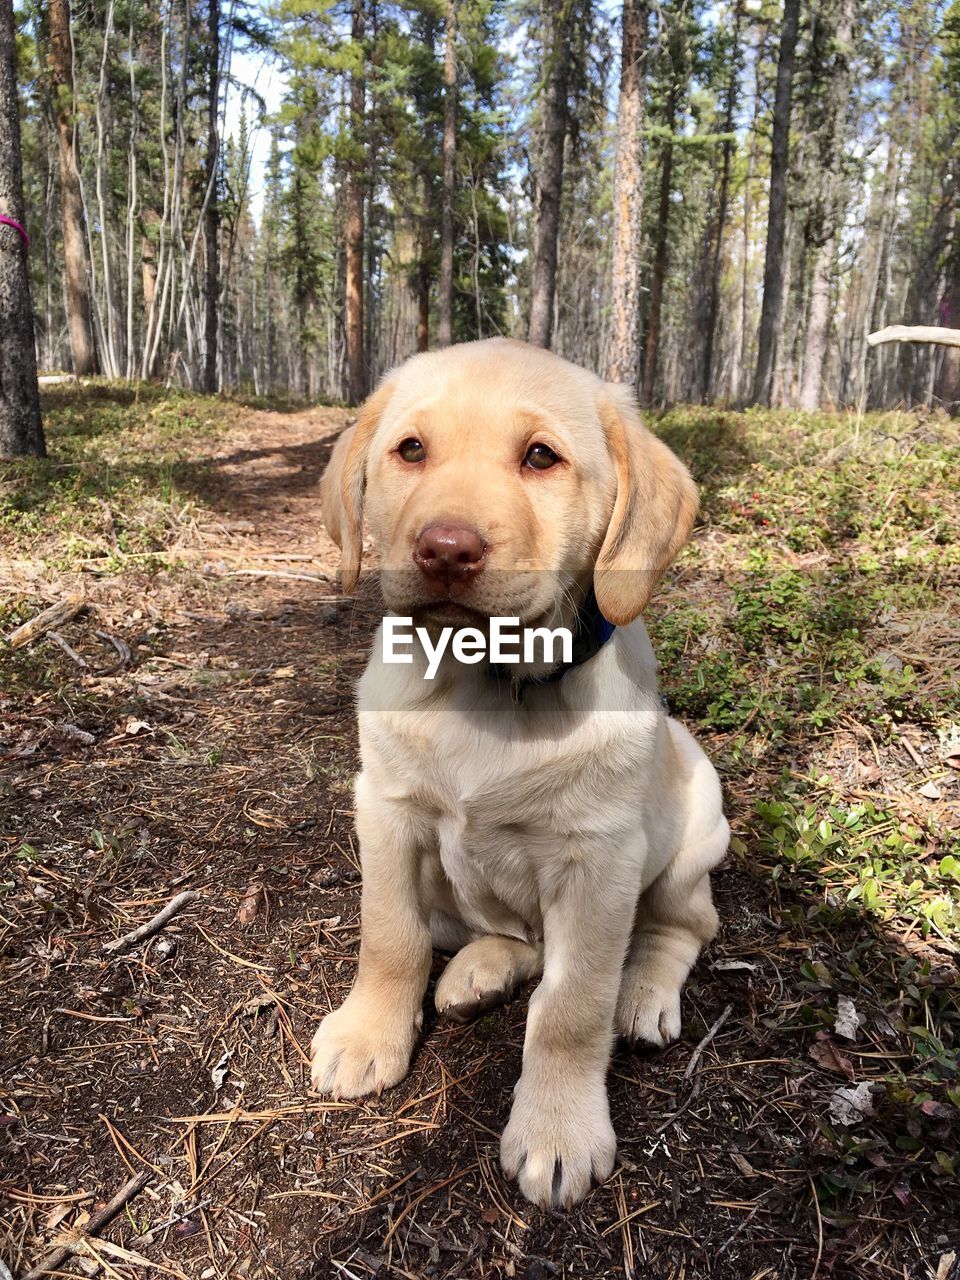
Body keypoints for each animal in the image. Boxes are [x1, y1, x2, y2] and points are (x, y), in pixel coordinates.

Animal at [312, 337, 727, 1208]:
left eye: (541, 457)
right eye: (410, 450)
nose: (444, 549)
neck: (486, 686)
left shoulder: (599, 861)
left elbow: (571, 1007)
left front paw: (559, 1129)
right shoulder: (386, 811)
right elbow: (388, 936)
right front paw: (369, 1034)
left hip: (692, 834)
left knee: (678, 929)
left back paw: (643, 994)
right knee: (512, 938)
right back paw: (479, 971)